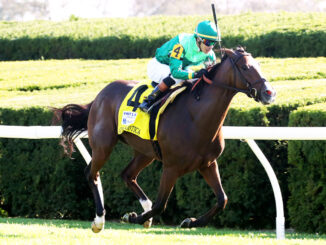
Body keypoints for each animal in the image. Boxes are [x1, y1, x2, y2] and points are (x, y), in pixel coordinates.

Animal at [53, 47, 276, 233]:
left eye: (259, 65)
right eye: (246, 67)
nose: (269, 93)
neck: (195, 116)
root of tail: (99, 96)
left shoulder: (208, 163)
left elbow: (222, 199)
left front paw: (190, 222)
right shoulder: (171, 167)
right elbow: (161, 204)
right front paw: (131, 217)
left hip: (145, 152)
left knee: (127, 175)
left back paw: (144, 210)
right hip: (103, 145)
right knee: (92, 174)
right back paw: (100, 220)